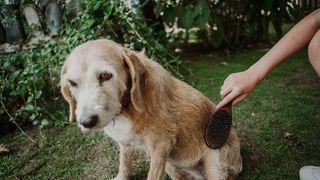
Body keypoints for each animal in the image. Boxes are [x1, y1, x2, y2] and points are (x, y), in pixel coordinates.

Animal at [60, 39, 241, 180]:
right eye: (72, 83)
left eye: (105, 75)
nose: (86, 122)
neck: (128, 108)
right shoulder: (128, 144)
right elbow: (124, 164)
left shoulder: (160, 146)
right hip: (170, 163)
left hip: (213, 161)